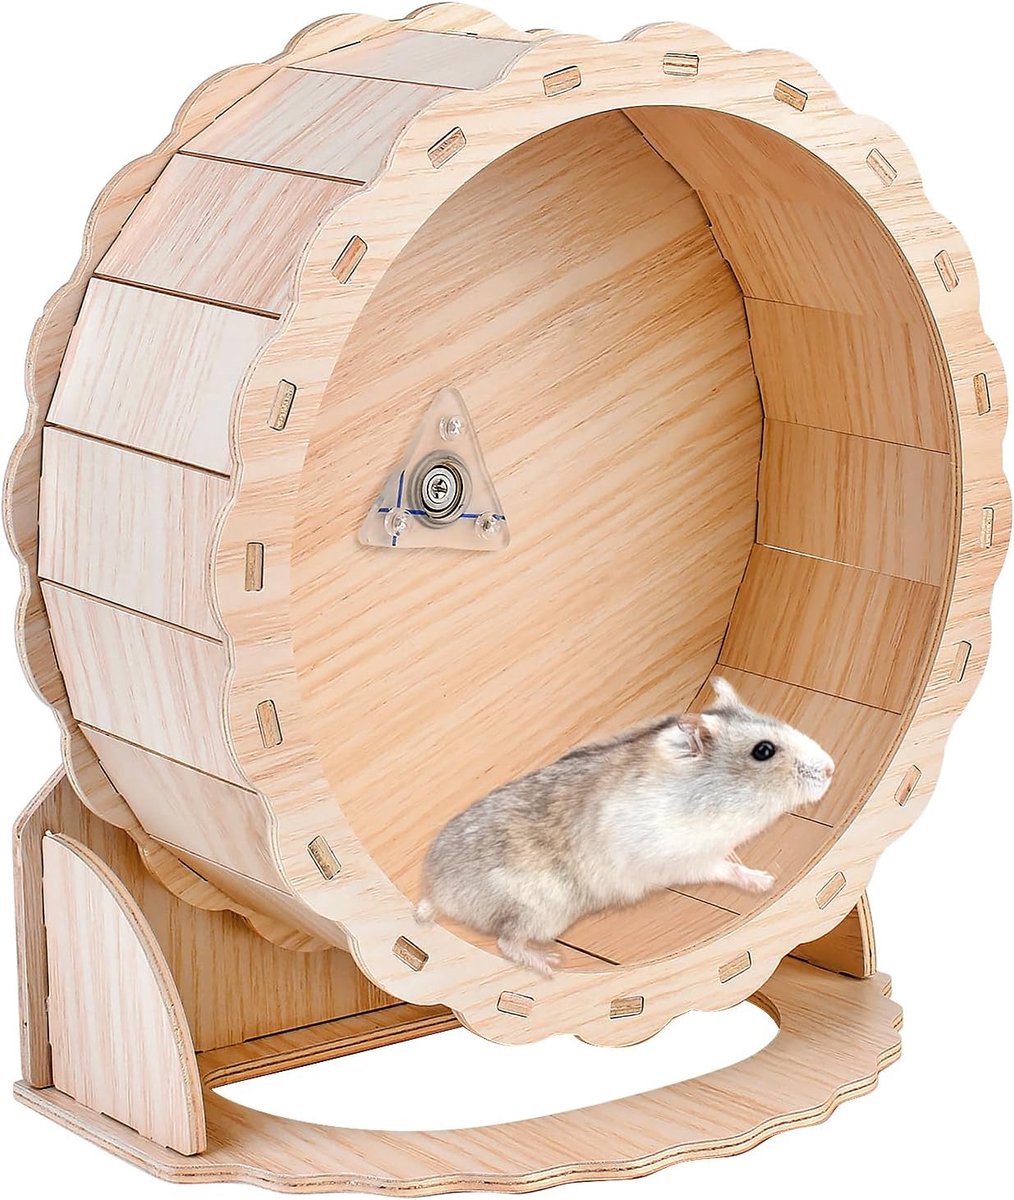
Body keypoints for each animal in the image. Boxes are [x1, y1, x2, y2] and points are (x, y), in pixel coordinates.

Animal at [415, 678, 835, 976]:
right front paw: (765, 882)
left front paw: (763, 877)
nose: (831, 768)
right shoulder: (687, 858)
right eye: (764, 750)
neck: (713, 797)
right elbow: (724, 869)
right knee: (507, 942)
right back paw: (551, 965)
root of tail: (438, 893)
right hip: (539, 909)